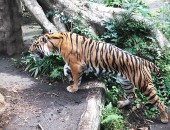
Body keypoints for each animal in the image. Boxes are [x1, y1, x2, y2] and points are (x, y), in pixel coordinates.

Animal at [29, 32, 169, 123]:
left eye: (35, 44)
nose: (29, 50)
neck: (56, 43)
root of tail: (144, 61)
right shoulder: (75, 64)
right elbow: (65, 68)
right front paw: (68, 76)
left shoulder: (76, 64)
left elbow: (75, 76)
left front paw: (73, 87)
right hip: (125, 82)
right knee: (132, 96)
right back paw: (122, 103)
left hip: (144, 85)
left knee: (159, 101)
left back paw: (164, 118)